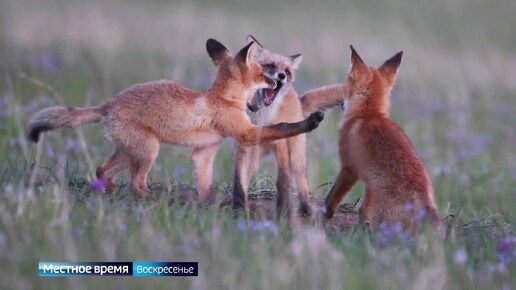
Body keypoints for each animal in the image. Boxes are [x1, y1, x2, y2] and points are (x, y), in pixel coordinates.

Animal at [26, 38, 322, 202]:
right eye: (265, 71)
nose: (278, 79)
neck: (222, 99)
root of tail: (109, 104)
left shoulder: (203, 152)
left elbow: (206, 185)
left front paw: (210, 206)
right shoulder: (246, 134)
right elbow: (282, 127)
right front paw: (309, 122)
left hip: (130, 152)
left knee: (102, 172)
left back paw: (109, 190)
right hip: (148, 152)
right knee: (135, 185)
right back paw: (152, 198)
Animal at [322, 46, 440, 236]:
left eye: (345, 87)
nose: (340, 104)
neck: (369, 114)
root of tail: (422, 199)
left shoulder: (349, 168)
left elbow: (333, 196)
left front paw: (325, 213)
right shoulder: (370, 182)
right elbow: (364, 209)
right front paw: (362, 227)